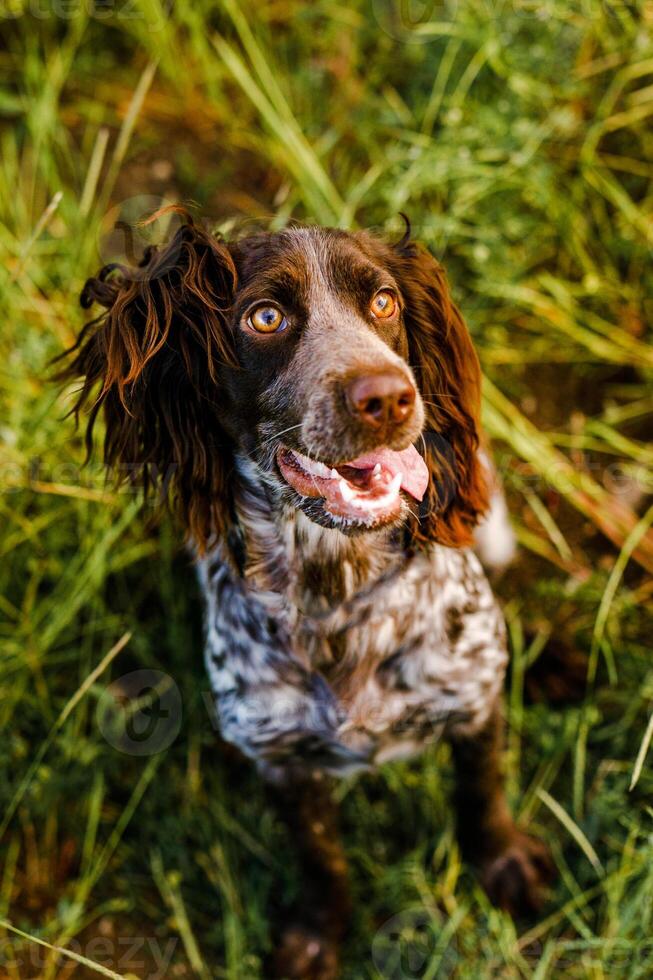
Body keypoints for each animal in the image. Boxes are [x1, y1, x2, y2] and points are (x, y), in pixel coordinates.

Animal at [61, 214, 552, 980]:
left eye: (383, 302)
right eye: (265, 317)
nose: (387, 398)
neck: (337, 592)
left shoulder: (472, 697)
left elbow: (482, 794)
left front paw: (503, 863)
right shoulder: (279, 754)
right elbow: (322, 860)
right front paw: (319, 935)